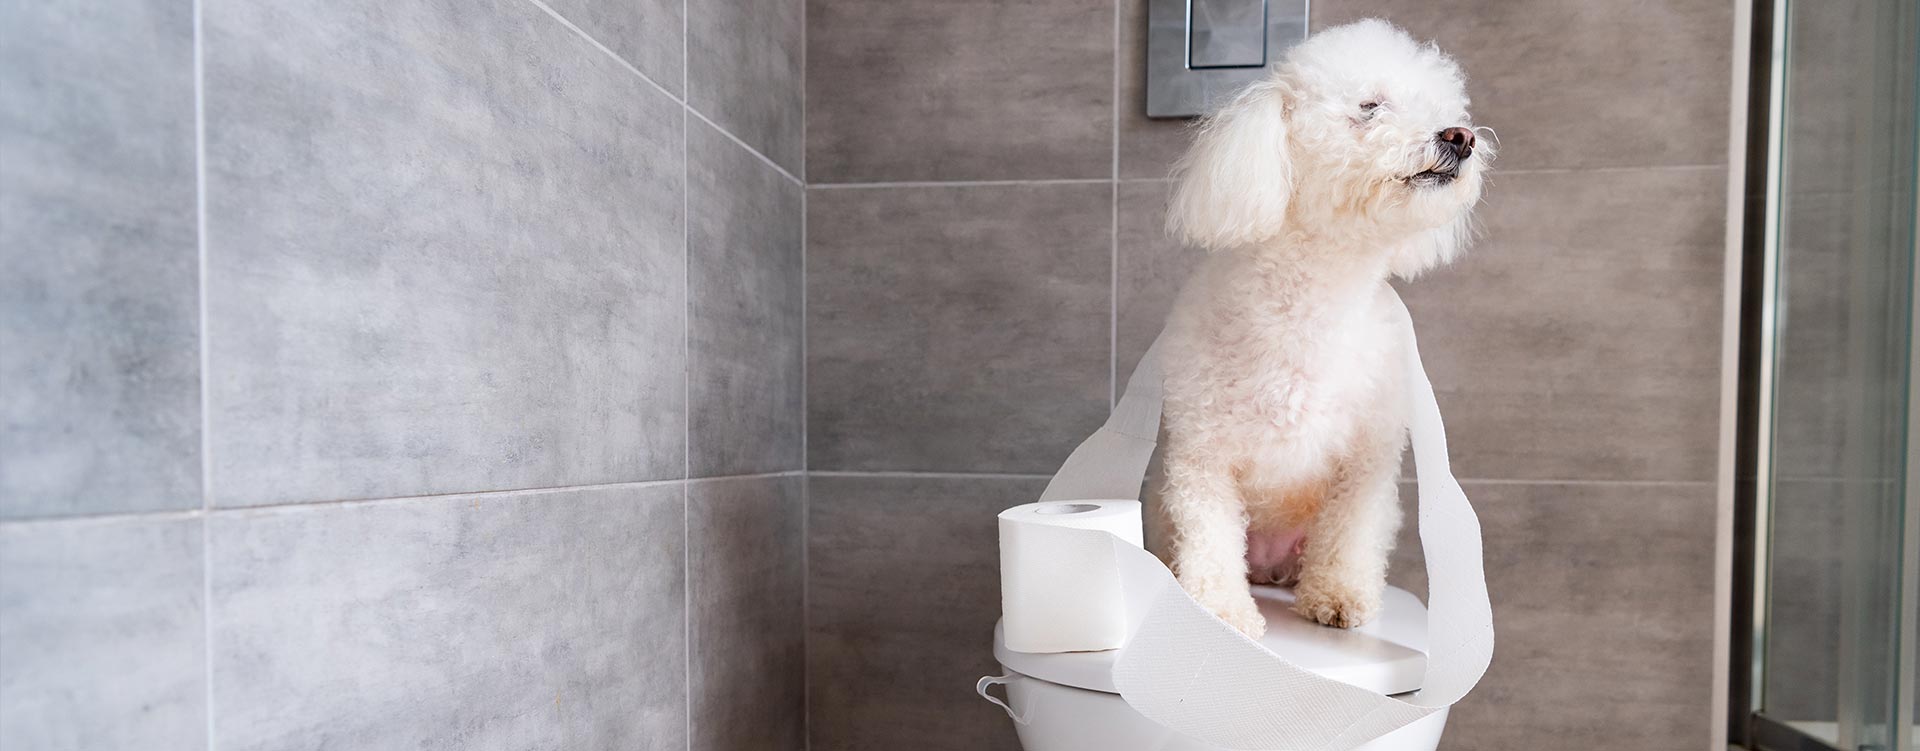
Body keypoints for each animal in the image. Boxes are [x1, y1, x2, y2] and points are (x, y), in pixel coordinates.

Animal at [1144, 20, 1489, 637]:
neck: (1315, 298)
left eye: (1441, 108)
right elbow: (1210, 538)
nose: (1461, 137)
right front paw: (1218, 612)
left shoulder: (1368, 457)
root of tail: (1270, 566)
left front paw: (1339, 596)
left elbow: (1351, 530)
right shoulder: (1202, 453)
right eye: (1370, 107)